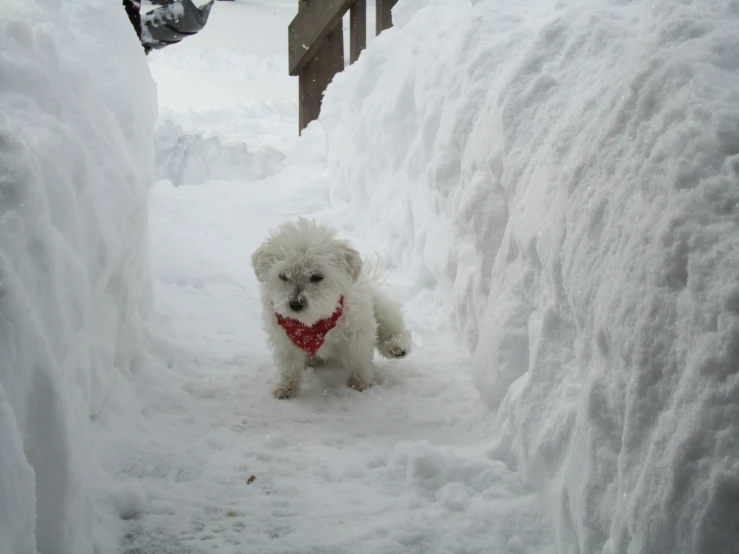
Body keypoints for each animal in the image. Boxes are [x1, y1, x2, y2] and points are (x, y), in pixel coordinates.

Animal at [253, 217, 414, 396]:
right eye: (283, 276)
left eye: (317, 276)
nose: (295, 304)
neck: (313, 324)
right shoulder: (284, 338)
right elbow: (289, 365)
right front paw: (286, 387)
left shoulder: (359, 332)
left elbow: (359, 359)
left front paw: (360, 383)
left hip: (381, 309)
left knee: (393, 330)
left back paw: (397, 346)